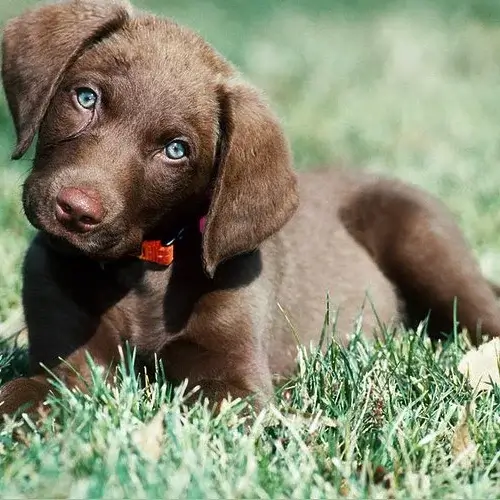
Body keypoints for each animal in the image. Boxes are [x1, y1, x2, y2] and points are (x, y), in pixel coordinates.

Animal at [0, 0, 500, 414]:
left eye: (177, 150)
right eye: (86, 97)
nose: (75, 210)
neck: (141, 269)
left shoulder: (234, 379)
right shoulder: (67, 358)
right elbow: (33, 390)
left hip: (424, 241)